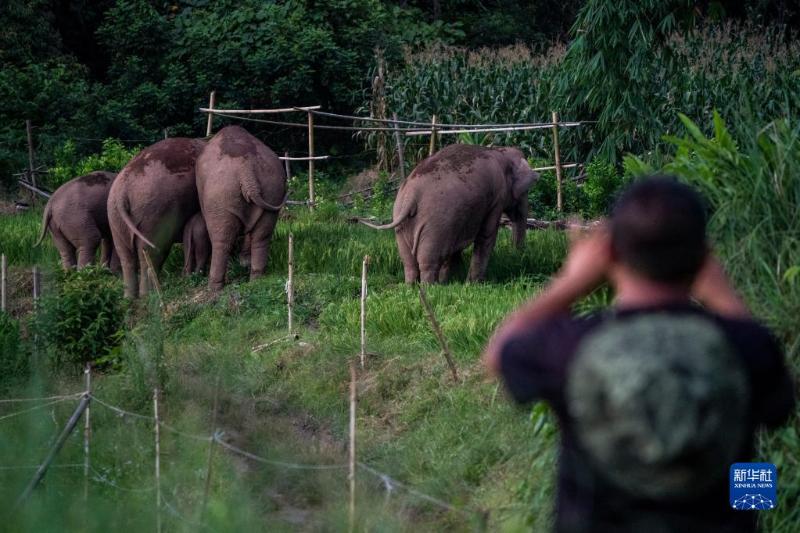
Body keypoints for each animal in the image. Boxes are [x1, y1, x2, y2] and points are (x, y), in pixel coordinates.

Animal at [106, 136, 206, 300]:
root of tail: (122, 191)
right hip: (154, 214)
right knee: (151, 251)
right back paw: (150, 294)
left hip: (115, 217)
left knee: (126, 256)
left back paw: (130, 298)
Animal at [195, 125, 288, 290]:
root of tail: (247, 169)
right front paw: (244, 261)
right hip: (273, 188)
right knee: (262, 235)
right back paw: (256, 279)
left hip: (220, 196)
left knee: (221, 240)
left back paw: (214, 287)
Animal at [360, 141, 536, 282]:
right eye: (525, 192)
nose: (518, 254)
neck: (499, 150)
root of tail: (411, 195)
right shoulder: (496, 198)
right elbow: (486, 236)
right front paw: (472, 284)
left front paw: (450, 281)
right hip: (436, 223)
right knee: (428, 260)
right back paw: (430, 287)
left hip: (401, 223)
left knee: (409, 262)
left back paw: (412, 287)